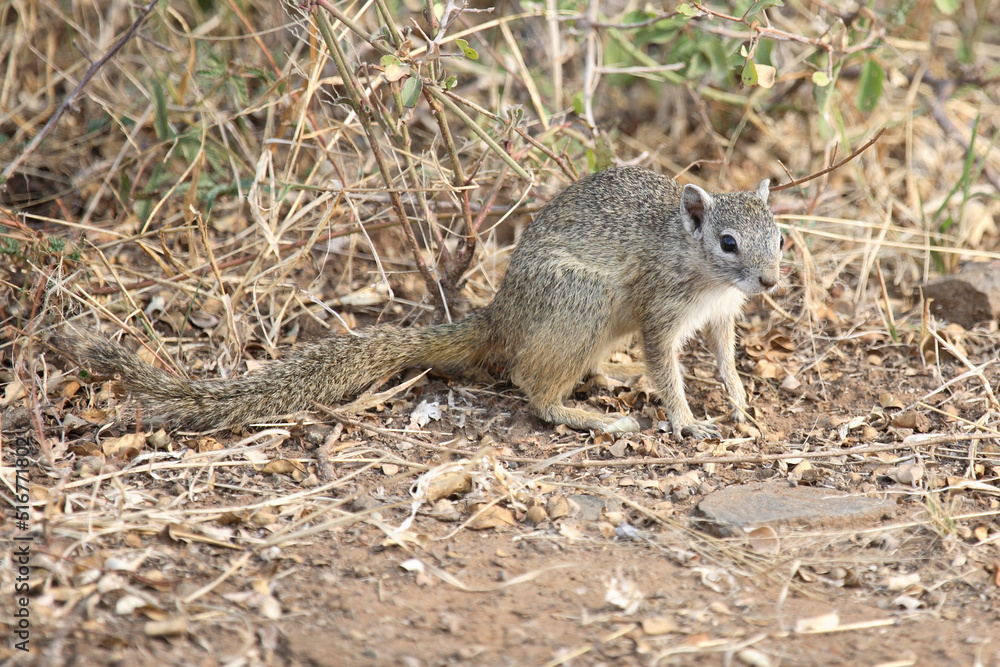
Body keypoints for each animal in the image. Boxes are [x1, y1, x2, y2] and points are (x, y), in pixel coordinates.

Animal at [62, 165, 783, 438]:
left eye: (780, 236)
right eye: (727, 241)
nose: (772, 282)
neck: (705, 275)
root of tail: (502, 314)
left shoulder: (720, 317)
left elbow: (725, 359)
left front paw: (740, 401)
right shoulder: (661, 310)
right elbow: (668, 366)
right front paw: (686, 420)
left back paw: (608, 379)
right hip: (584, 302)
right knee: (532, 385)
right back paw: (590, 417)